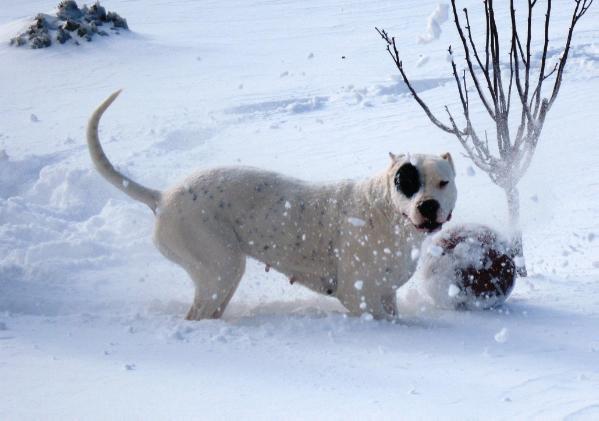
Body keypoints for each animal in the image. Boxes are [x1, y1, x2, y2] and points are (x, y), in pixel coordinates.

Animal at [86, 91, 458, 318]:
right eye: (407, 183)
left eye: (443, 182)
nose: (428, 206)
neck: (385, 214)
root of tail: (161, 197)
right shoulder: (360, 297)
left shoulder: (384, 295)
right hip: (220, 268)